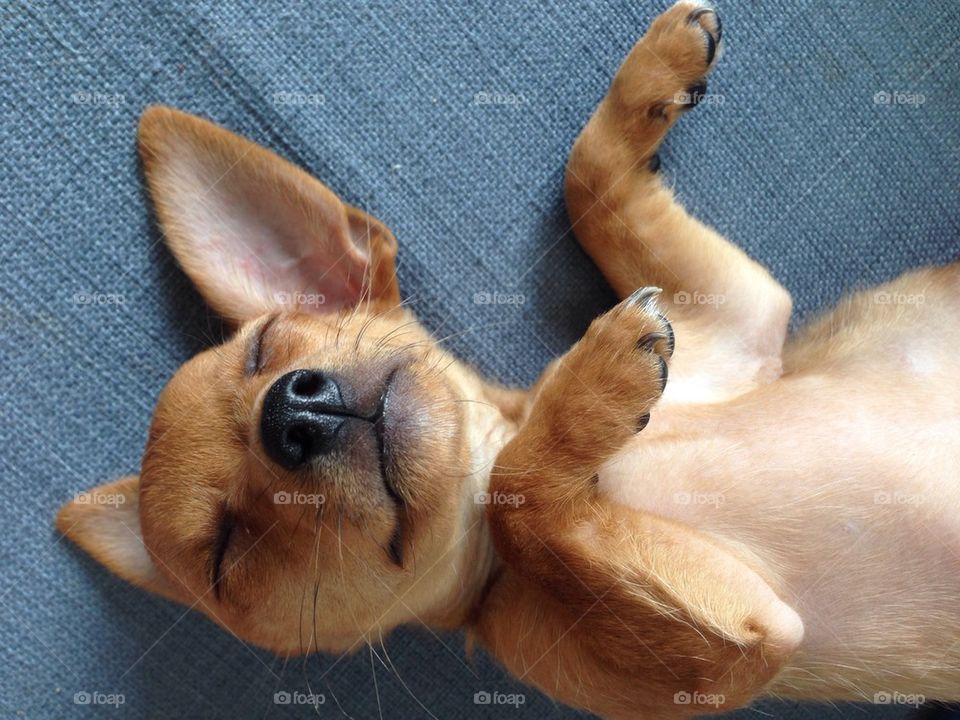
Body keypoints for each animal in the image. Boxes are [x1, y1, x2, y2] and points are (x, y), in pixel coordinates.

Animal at [60, 2, 960, 716]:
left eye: (268, 345)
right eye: (226, 552)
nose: (292, 409)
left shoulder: (741, 315)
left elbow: (590, 181)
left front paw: (655, 73)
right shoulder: (735, 651)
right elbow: (520, 494)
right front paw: (597, 383)